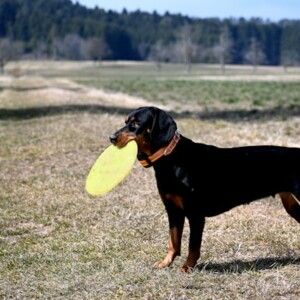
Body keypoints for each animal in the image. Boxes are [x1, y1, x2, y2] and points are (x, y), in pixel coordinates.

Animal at [110, 107, 300, 272]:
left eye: (136, 123)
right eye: (126, 121)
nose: (111, 138)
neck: (171, 157)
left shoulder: (195, 214)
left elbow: (193, 246)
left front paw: (187, 268)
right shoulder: (173, 211)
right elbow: (173, 241)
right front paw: (165, 263)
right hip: (292, 205)